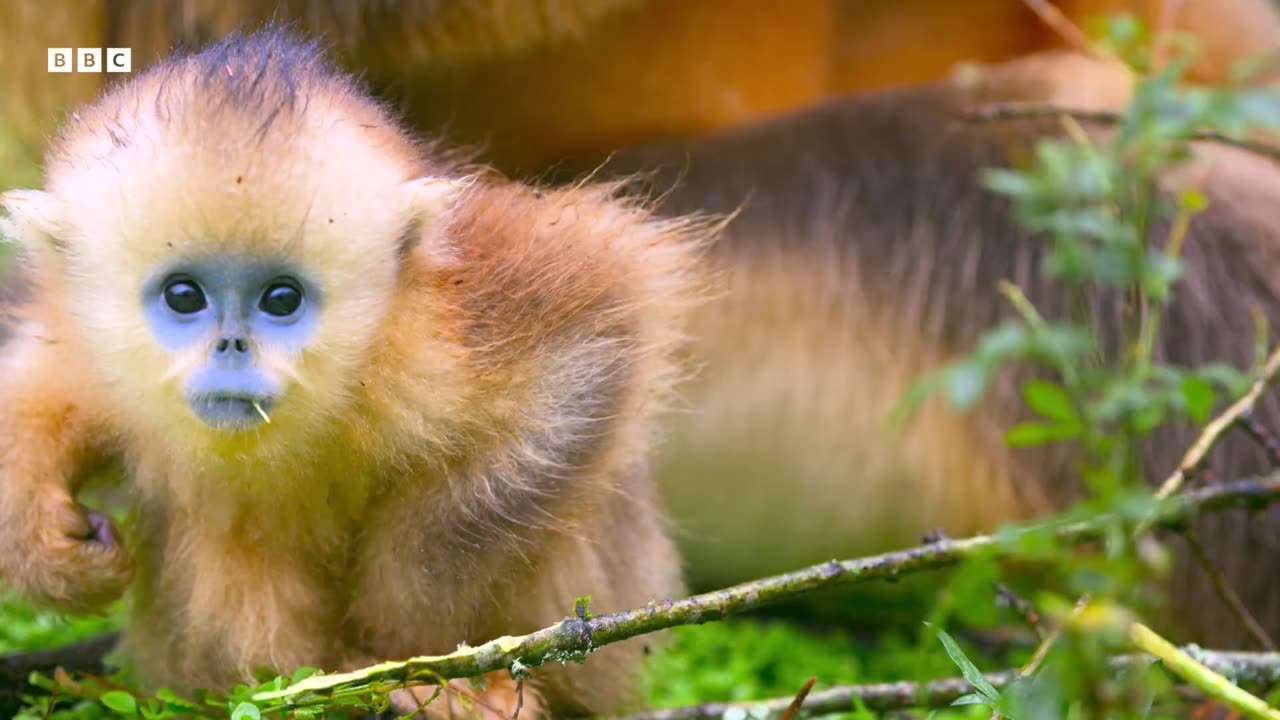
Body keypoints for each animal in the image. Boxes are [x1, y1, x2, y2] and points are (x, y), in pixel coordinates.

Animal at [0, 26, 711, 712]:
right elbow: (39, 392)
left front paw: (407, 633)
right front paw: (43, 547)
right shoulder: (82, 337)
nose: (232, 348)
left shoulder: (457, 319)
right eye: (183, 296)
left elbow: (594, 336)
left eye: (281, 299)